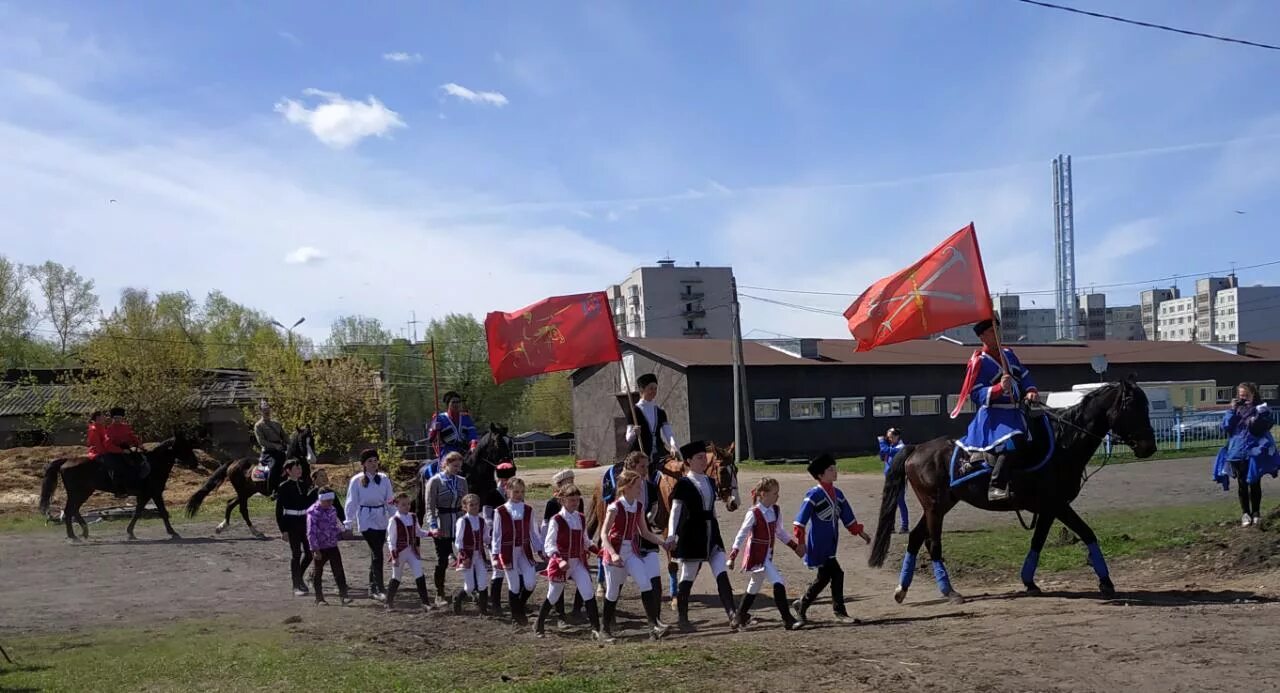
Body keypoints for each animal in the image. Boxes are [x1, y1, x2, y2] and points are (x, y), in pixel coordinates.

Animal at [37, 432, 203, 540]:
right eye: (184, 447)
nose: (195, 463)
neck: (154, 464)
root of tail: (66, 461)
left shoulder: (144, 495)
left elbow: (137, 512)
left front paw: (130, 532)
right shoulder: (155, 493)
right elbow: (162, 512)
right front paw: (172, 532)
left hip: (84, 492)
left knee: (74, 510)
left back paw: (83, 532)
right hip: (79, 492)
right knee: (70, 510)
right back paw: (73, 535)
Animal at [183, 427, 314, 535]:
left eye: (312, 439)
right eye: (301, 441)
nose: (311, 459)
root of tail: (234, 462)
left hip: (247, 492)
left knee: (230, 504)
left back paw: (221, 527)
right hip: (242, 492)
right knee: (243, 510)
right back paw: (255, 531)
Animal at [870, 381, 1162, 602]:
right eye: (1132, 407)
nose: (1149, 446)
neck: (1064, 443)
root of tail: (916, 449)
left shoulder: (1049, 509)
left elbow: (1040, 542)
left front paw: (1030, 582)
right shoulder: (1057, 505)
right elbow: (1086, 533)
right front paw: (1106, 581)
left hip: (939, 505)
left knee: (916, 538)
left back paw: (902, 589)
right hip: (935, 506)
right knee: (932, 544)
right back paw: (949, 591)